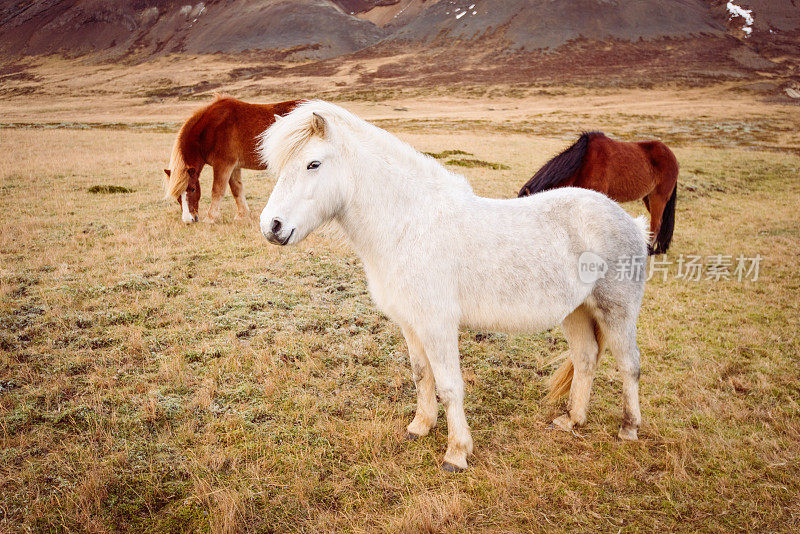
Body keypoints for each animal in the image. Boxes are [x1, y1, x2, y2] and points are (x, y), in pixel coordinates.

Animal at [164, 95, 302, 223]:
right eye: (176, 195)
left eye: (192, 189)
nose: (188, 220)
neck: (211, 129)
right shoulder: (234, 166)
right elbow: (237, 189)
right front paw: (242, 216)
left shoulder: (223, 164)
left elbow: (217, 190)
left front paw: (210, 218)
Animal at [260, 101, 648, 474]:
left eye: (313, 164)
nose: (271, 227)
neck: (408, 226)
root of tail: (631, 221)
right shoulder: (411, 324)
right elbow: (421, 375)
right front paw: (420, 427)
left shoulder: (438, 326)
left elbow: (449, 386)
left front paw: (456, 453)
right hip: (576, 311)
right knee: (585, 359)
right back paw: (571, 420)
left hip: (616, 312)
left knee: (629, 364)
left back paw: (629, 428)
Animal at [520, 131, 680, 254]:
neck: (584, 163)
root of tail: (672, 156)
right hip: (648, 198)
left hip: (658, 198)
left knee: (656, 224)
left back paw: (649, 250)